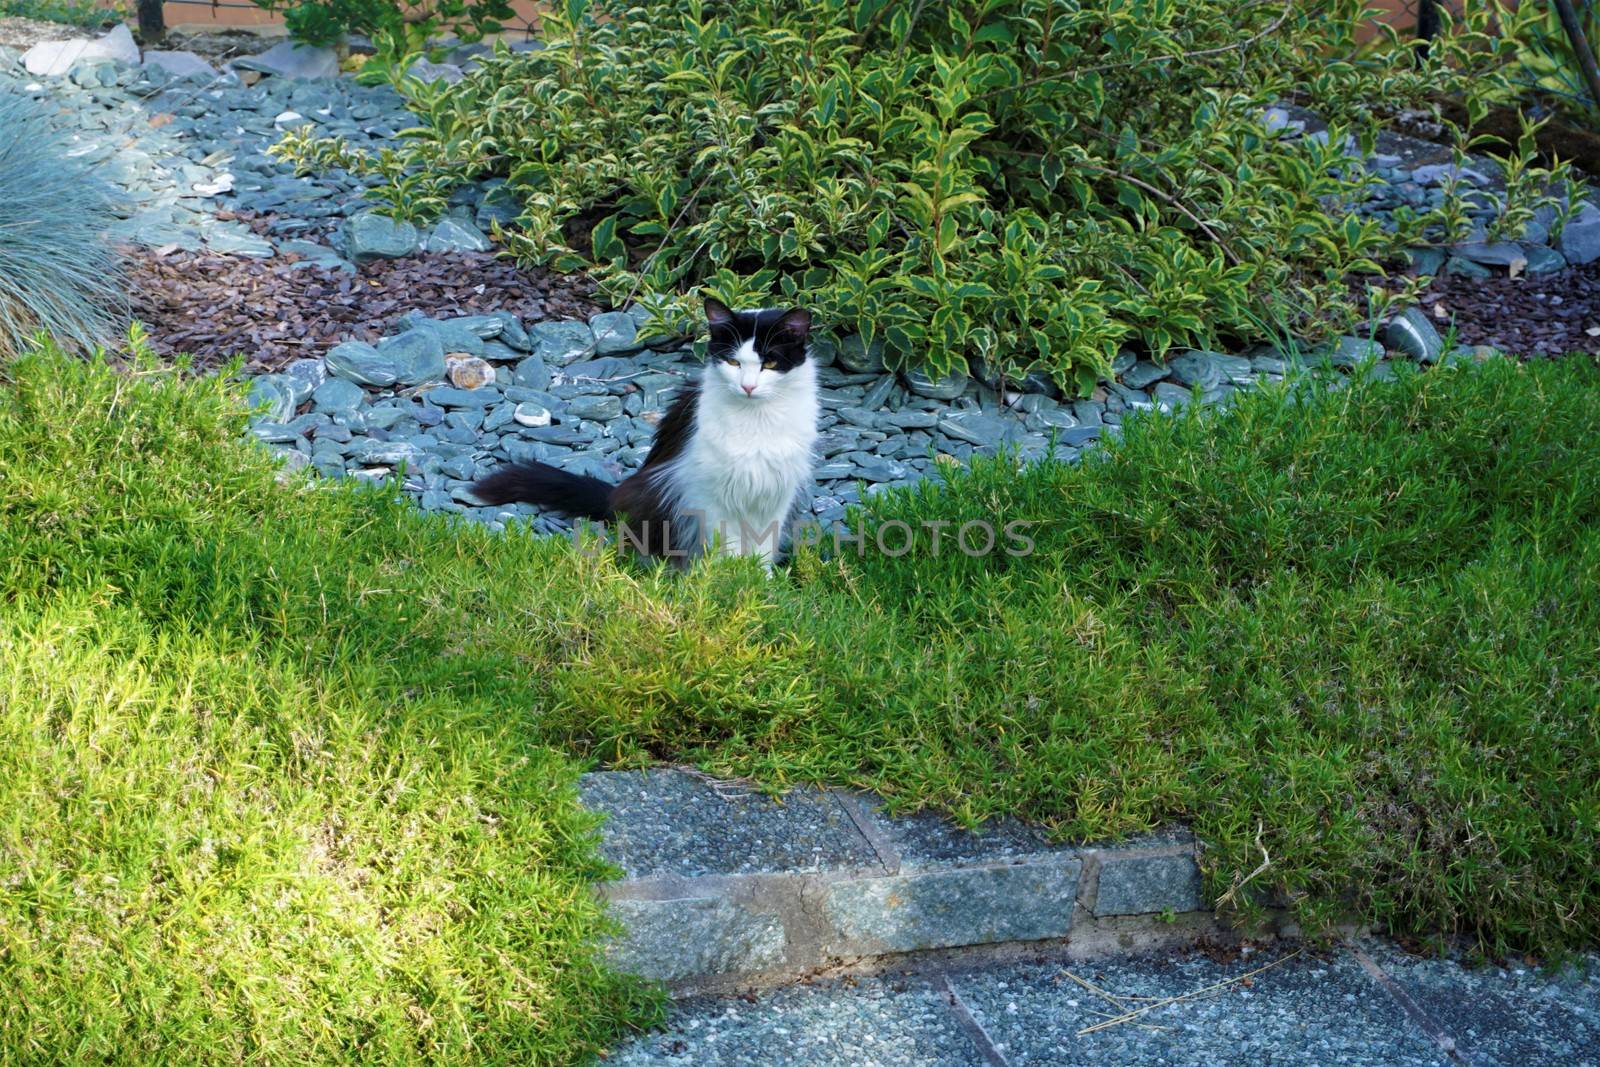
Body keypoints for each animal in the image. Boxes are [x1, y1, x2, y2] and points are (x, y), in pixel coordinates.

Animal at [467, 300, 819, 566]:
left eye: (769, 364)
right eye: (733, 362)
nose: (748, 386)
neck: (757, 419)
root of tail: (616, 493)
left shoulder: (776, 490)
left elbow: (764, 546)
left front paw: (760, 582)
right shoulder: (710, 493)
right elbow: (726, 542)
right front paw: (727, 579)